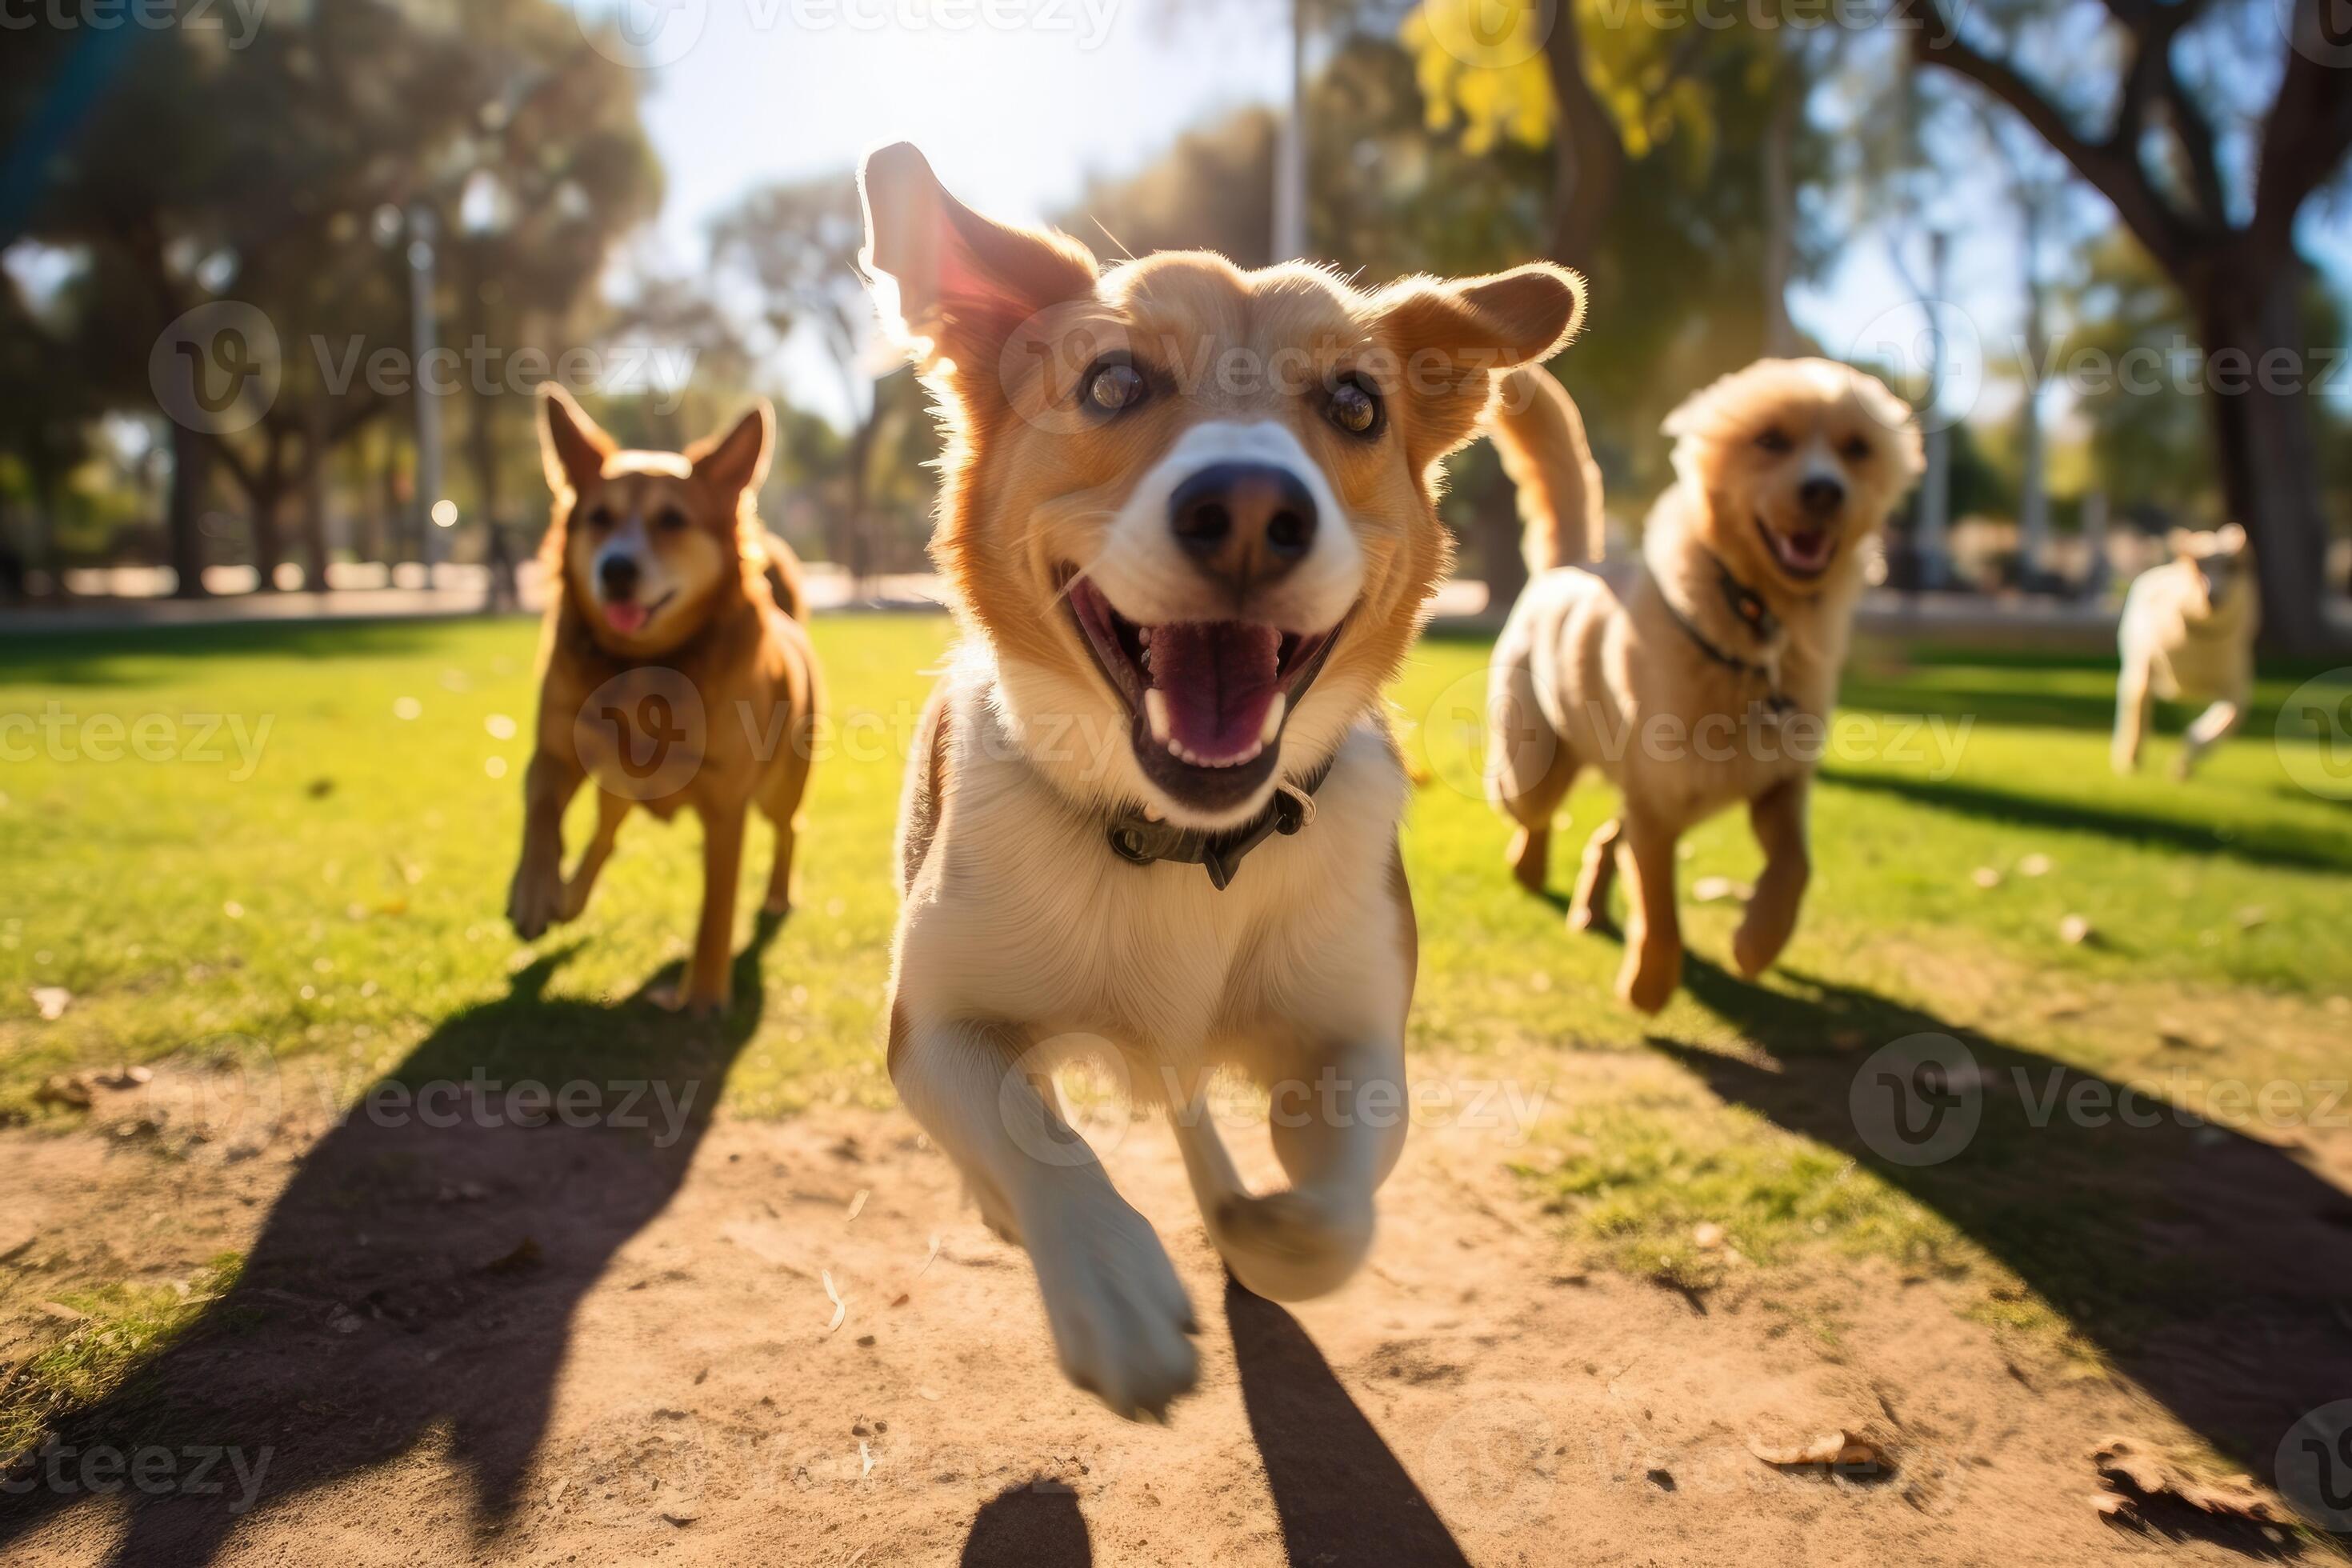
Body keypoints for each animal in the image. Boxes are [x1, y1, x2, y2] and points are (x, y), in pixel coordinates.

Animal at [510, 385, 823, 1010]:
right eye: (599, 518)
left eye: (673, 520)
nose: (616, 569)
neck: (642, 666)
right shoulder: (554, 752)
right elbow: (542, 812)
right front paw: (533, 892)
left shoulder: (727, 807)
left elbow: (716, 906)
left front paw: (702, 994)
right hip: (616, 786)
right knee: (604, 837)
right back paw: (568, 897)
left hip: (780, 790)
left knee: (788, 829)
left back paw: (777, 896)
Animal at [1486, 357, 1928, 1010]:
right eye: (1770, 440)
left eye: (1857, 448)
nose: (1826, 491)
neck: (1751, 631)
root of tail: (1573, 566)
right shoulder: (1659, 804)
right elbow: (1660, 905)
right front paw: (1650, 984)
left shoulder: (1779, 786)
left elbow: (1795, 867)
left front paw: (1757, 943)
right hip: (1536, 767)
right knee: (1534, 812)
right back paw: (1530, 868)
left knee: (1606, 836)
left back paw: (1588, 906)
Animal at [2117, 526, 2258, 785]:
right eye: (2197, 565)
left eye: (2233, 566)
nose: (2213, 597)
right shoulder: (2146, 667)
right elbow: (2138, 711)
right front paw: (2131, 758)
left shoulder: (2236, 688)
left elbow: (2225, 720)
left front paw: (2184, 762)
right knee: (2133, 708)